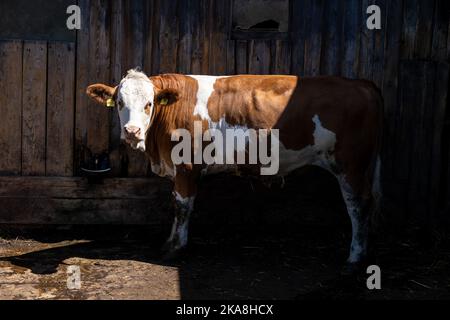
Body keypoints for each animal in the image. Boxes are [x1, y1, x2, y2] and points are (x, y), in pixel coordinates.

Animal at [87, 69, 384, 264]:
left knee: (359, 205)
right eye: (120, 103)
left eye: (149, 103)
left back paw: (355, 256)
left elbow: (182, 207)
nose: (132, 131)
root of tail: (362, 83)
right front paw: (171, 241)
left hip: (351, 165)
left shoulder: (186, 167)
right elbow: (176, 204)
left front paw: (175, 247)